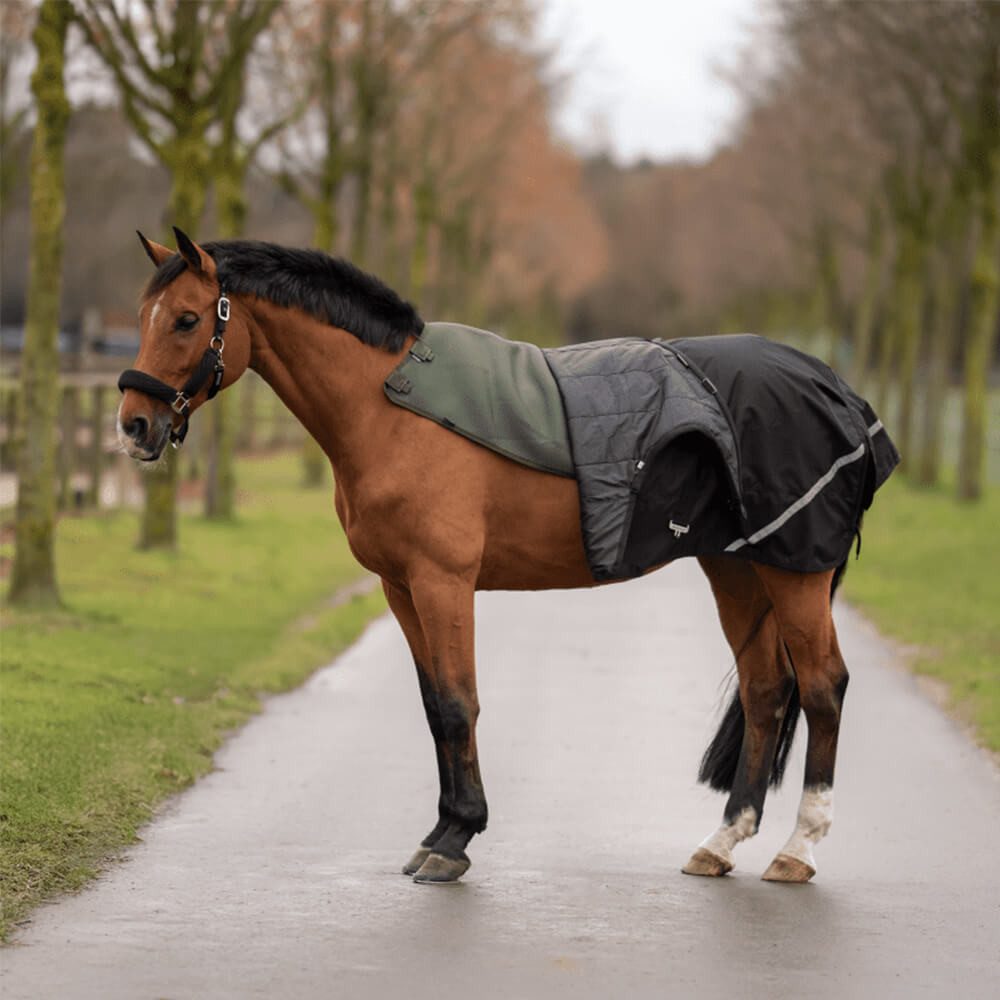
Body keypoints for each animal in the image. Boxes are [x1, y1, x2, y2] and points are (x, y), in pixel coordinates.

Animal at [117, 227, 887, 886]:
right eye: (143, 315)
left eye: (186, 319)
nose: (133, 425)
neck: (391, 409)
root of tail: (836, 390)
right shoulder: (401, 587)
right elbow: (435, 705)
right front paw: (439, 832)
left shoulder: (443, 582)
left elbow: (461, 704)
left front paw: (455, 841)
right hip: (736, 567)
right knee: (766, 690)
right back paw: (721, 842)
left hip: (795, 571)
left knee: (823, 686)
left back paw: (798, 849)